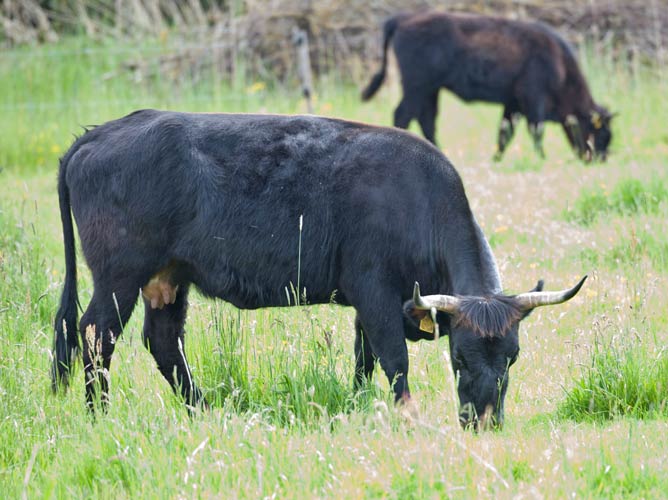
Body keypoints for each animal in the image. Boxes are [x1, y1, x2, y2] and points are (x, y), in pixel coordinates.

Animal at [51, 109, 586, 429]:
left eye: (512, 358)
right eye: (459, 358)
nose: (484, 422)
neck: (414, 200)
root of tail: (98, 134)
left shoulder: (373, 305)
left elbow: (362, 361)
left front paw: (358, 406)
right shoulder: (375, 293)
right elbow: (394, 359)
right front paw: (407, 416)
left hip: (167, 277)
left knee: (162, 342)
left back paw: (205, 412)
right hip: (119, 277)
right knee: (95, 334)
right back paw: (100, 416)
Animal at [361, 11, 614, 161]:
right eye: (601, 132)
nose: (599, 159)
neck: (560, 66)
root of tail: (404, 18)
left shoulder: (513, 105)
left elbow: (505, 132)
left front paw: (497, 158)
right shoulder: (533, 101)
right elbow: (535, 130)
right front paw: (541, 157)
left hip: (430, 90)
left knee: (427, 119)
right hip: (417, 87)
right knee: (404, 113)